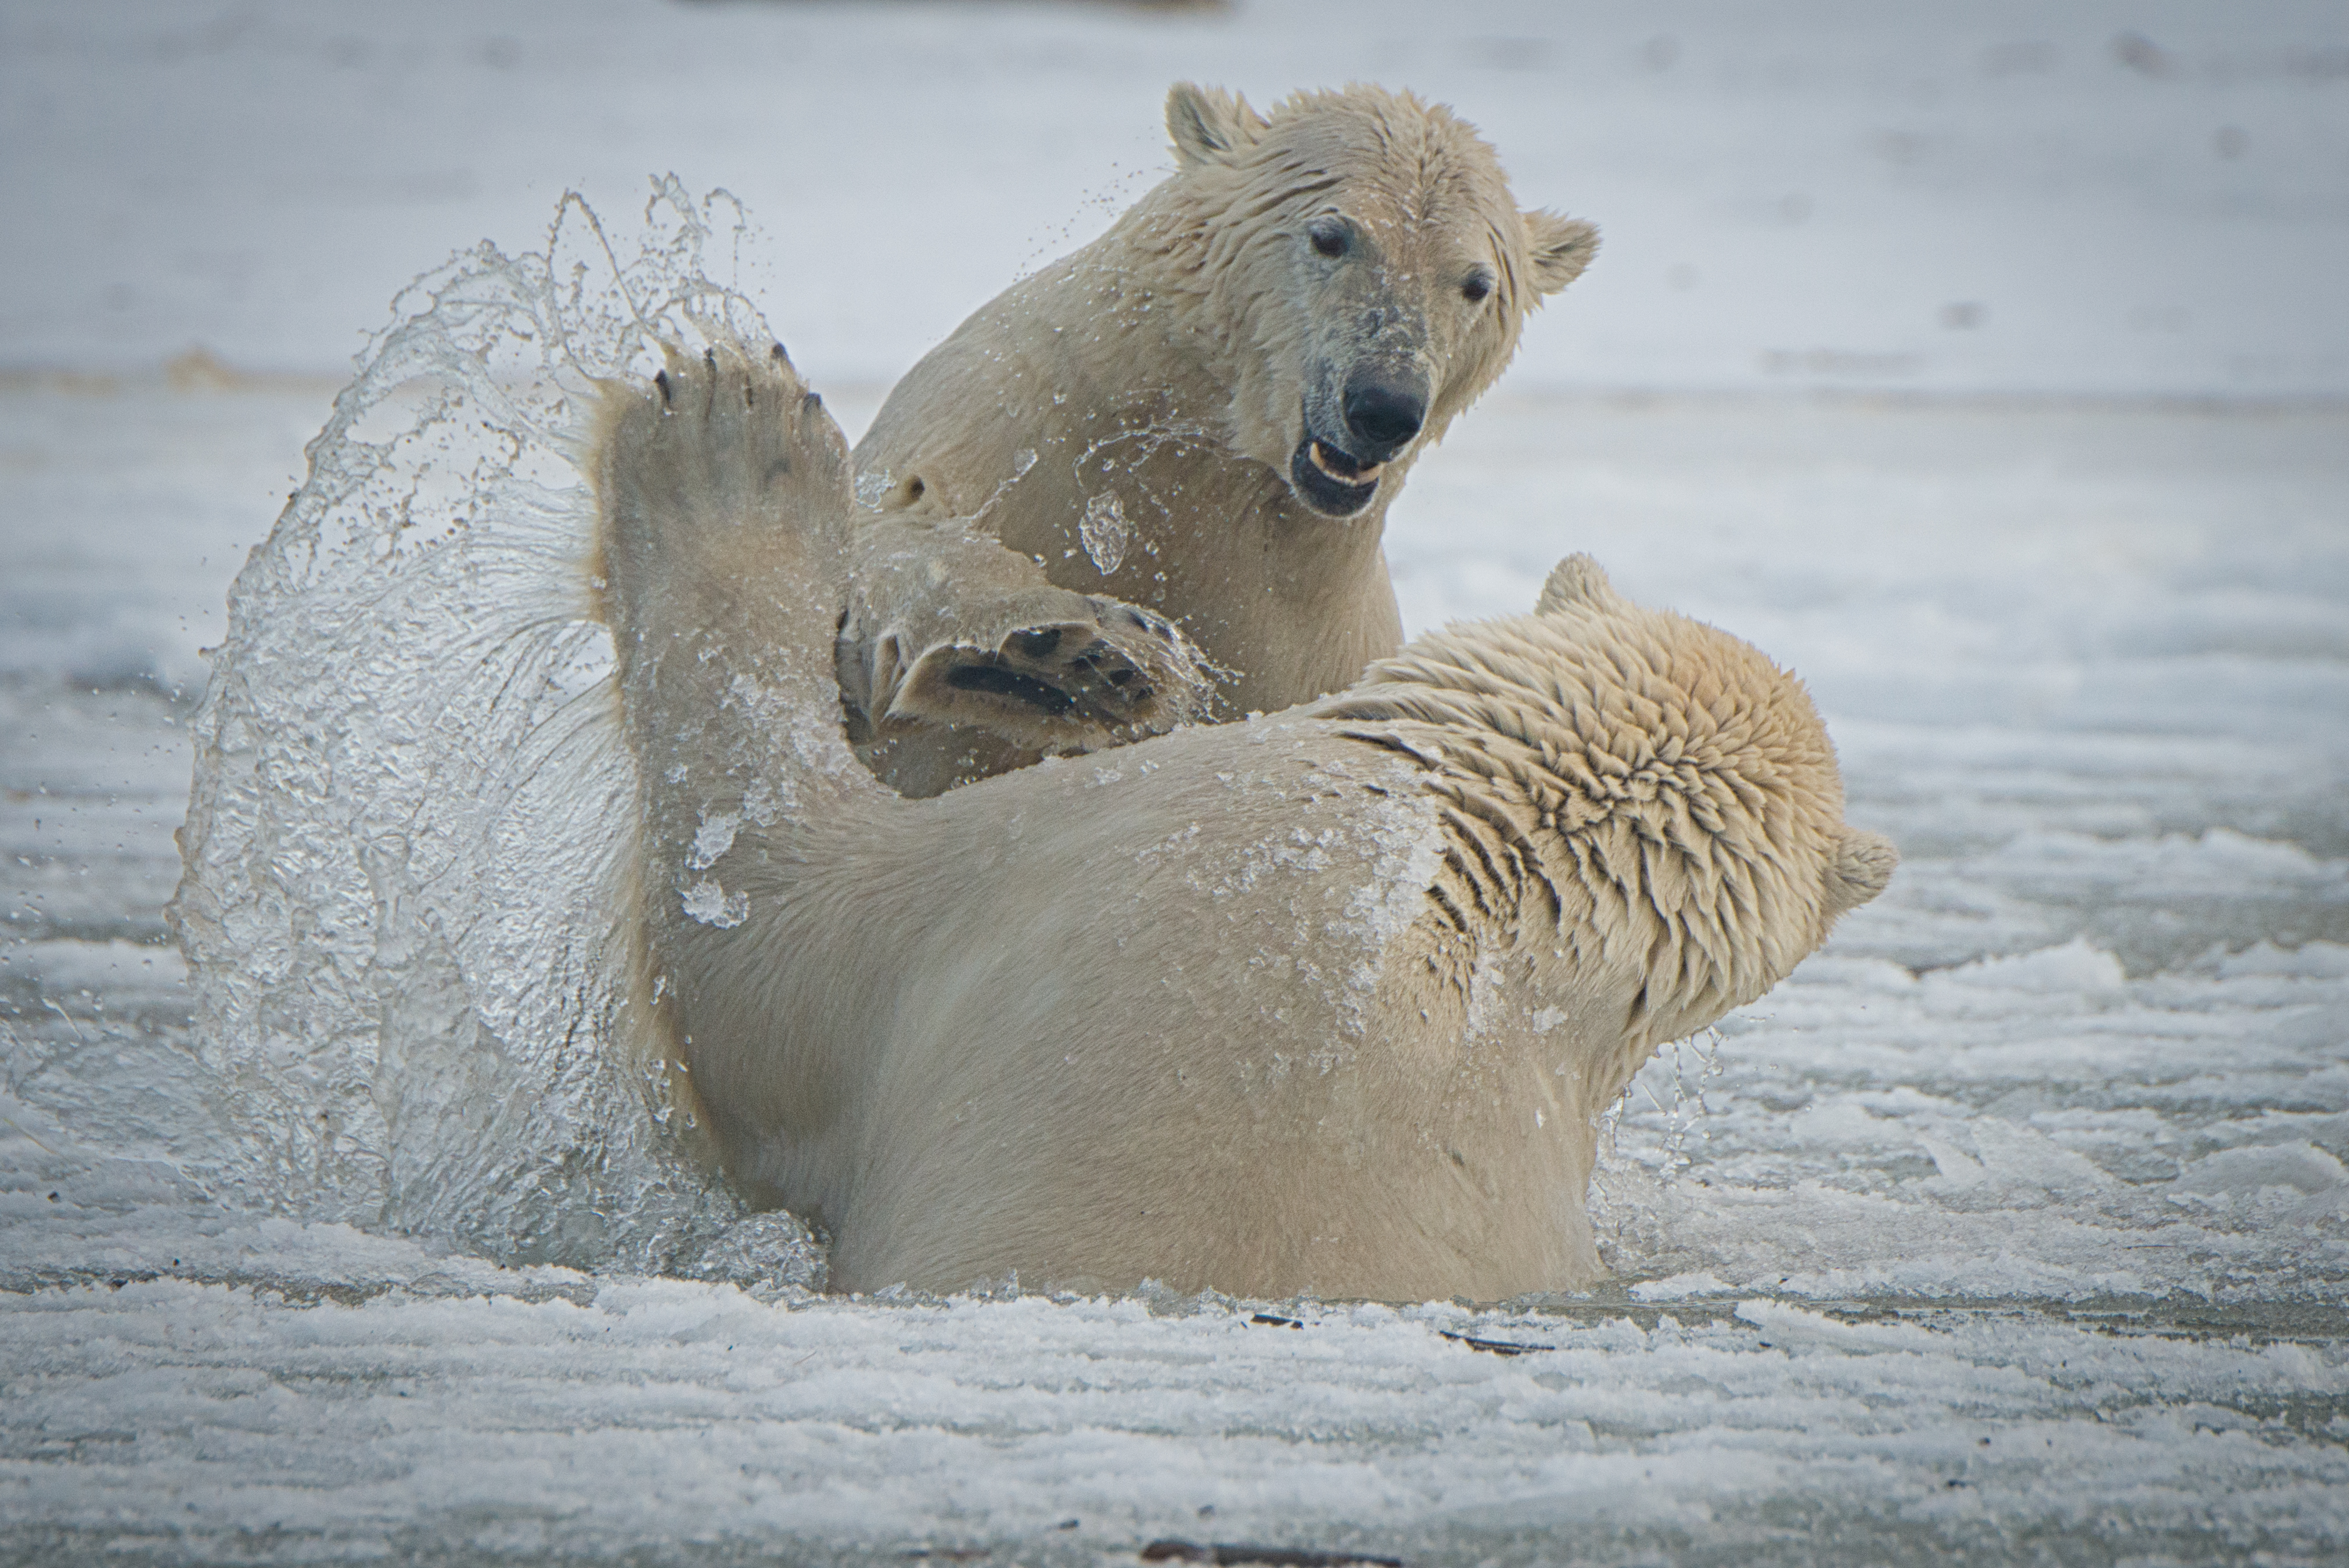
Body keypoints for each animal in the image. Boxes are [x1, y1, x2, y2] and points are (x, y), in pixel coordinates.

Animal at [831, 82, 1597, 799]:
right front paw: (1069, 660)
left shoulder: (1311, 638)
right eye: (1331, 236)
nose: (1384, 406)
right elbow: (884, 527)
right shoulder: (1016, 406)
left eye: (1475, 283)